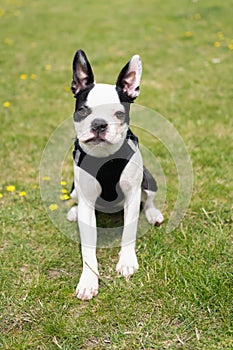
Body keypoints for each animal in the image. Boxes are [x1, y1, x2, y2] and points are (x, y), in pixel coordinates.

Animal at [66, 50, 163, 300]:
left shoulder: (132, 196)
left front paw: (127, 262)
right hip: (73, 189)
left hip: (149, 180)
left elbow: (129, 230)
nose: (99, 124)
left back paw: (153, 214)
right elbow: (88, 250)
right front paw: (88, 281)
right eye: (82, 111)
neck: (104, 156)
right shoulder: (87, 202)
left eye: (119, 114)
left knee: (149, 199)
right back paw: (73, 211)